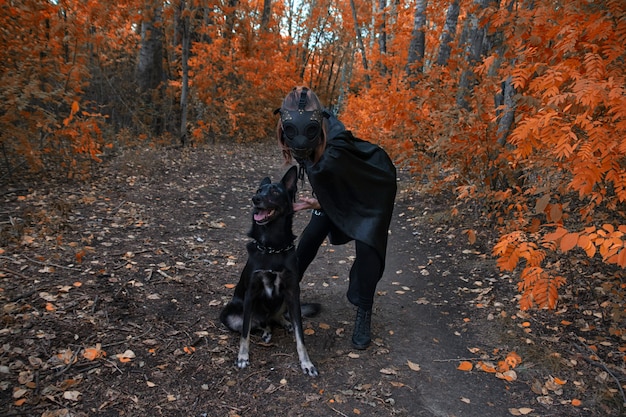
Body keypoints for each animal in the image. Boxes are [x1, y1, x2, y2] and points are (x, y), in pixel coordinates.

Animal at [218, 167, 316, 376]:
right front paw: (243, 357)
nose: (255, 199)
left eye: (275, 191)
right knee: (259, 323)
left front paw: (306, 362)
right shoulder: (251, 292)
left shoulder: (292, 291)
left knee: (274, 318)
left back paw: (284, 323)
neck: (273, 247)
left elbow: (300, 335)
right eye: (258, 190)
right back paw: (266, 331)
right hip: (230, 314)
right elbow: (245, 331)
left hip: (286, 299)